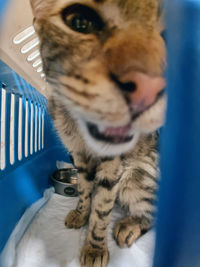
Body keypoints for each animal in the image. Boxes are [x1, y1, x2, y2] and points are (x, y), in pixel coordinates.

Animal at [30, 0, 166, 266]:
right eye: (80, 23)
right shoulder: (79, 156)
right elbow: (84, 191)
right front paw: (81, 213)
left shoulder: (112, 163)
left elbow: (102, 208)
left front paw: (94, 248)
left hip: (136, 178)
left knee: (153, 214)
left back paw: (128, 226)